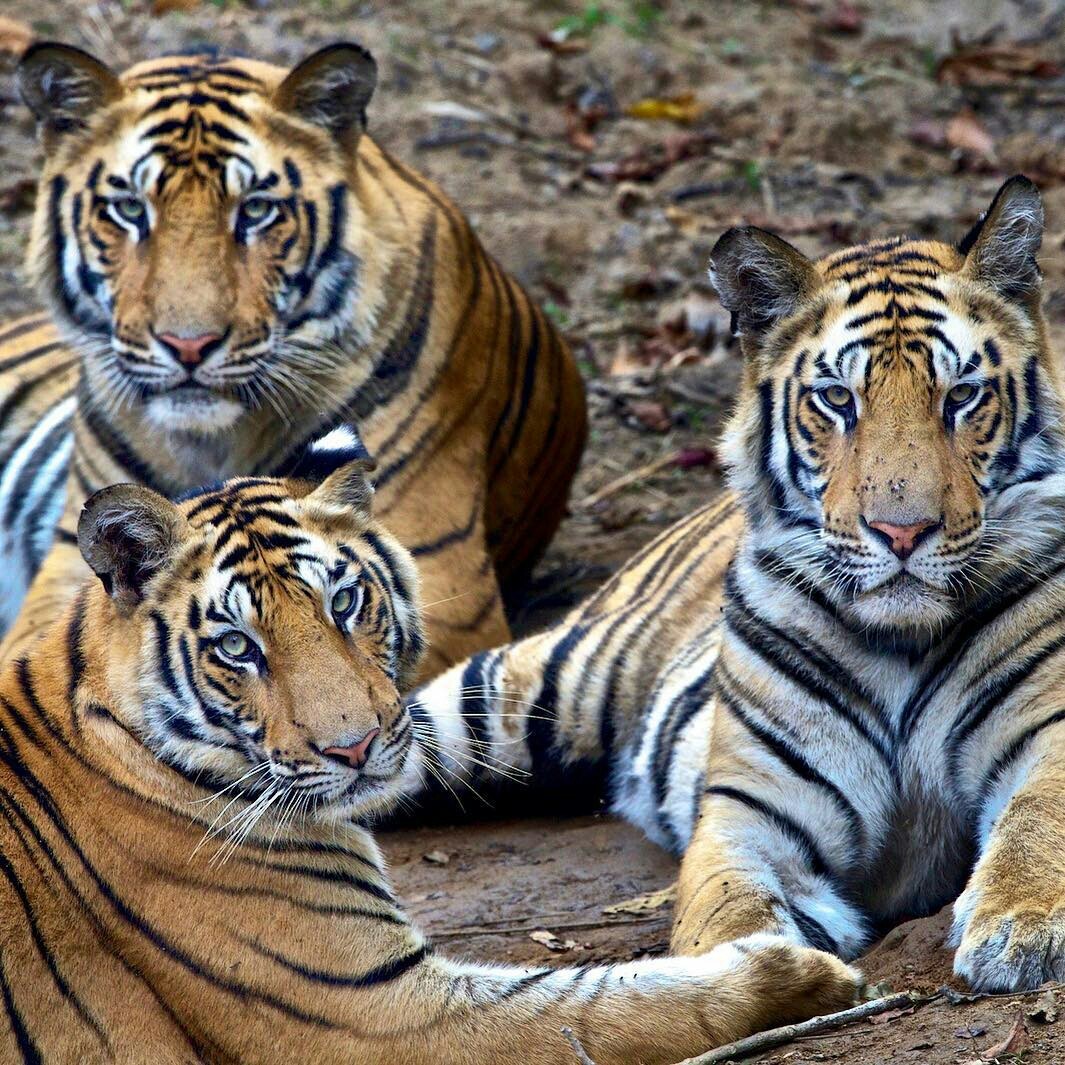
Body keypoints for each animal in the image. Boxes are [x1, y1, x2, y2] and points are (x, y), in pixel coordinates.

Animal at [0, 41, 587, 681]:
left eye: (256, 211)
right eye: (129, 209)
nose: (188, 345)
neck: (210, 442)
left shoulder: (438, 577)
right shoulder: (75, 556)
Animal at [0, 440, 856, 1065]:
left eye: (345, 601)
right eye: (237, 646)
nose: (353, 746)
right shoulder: (373, 1011)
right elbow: (600, 1002)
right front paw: (791, 973)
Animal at [404, 176, 1065, 996]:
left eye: (962, 396)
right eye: (837, 400)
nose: (902, 531)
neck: (900, 645)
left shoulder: (1048, 732)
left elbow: (1039, 823)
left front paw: (1020, 928)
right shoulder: (750, 813)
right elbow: (722, 905)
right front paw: (744, 974)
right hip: (516, 693)